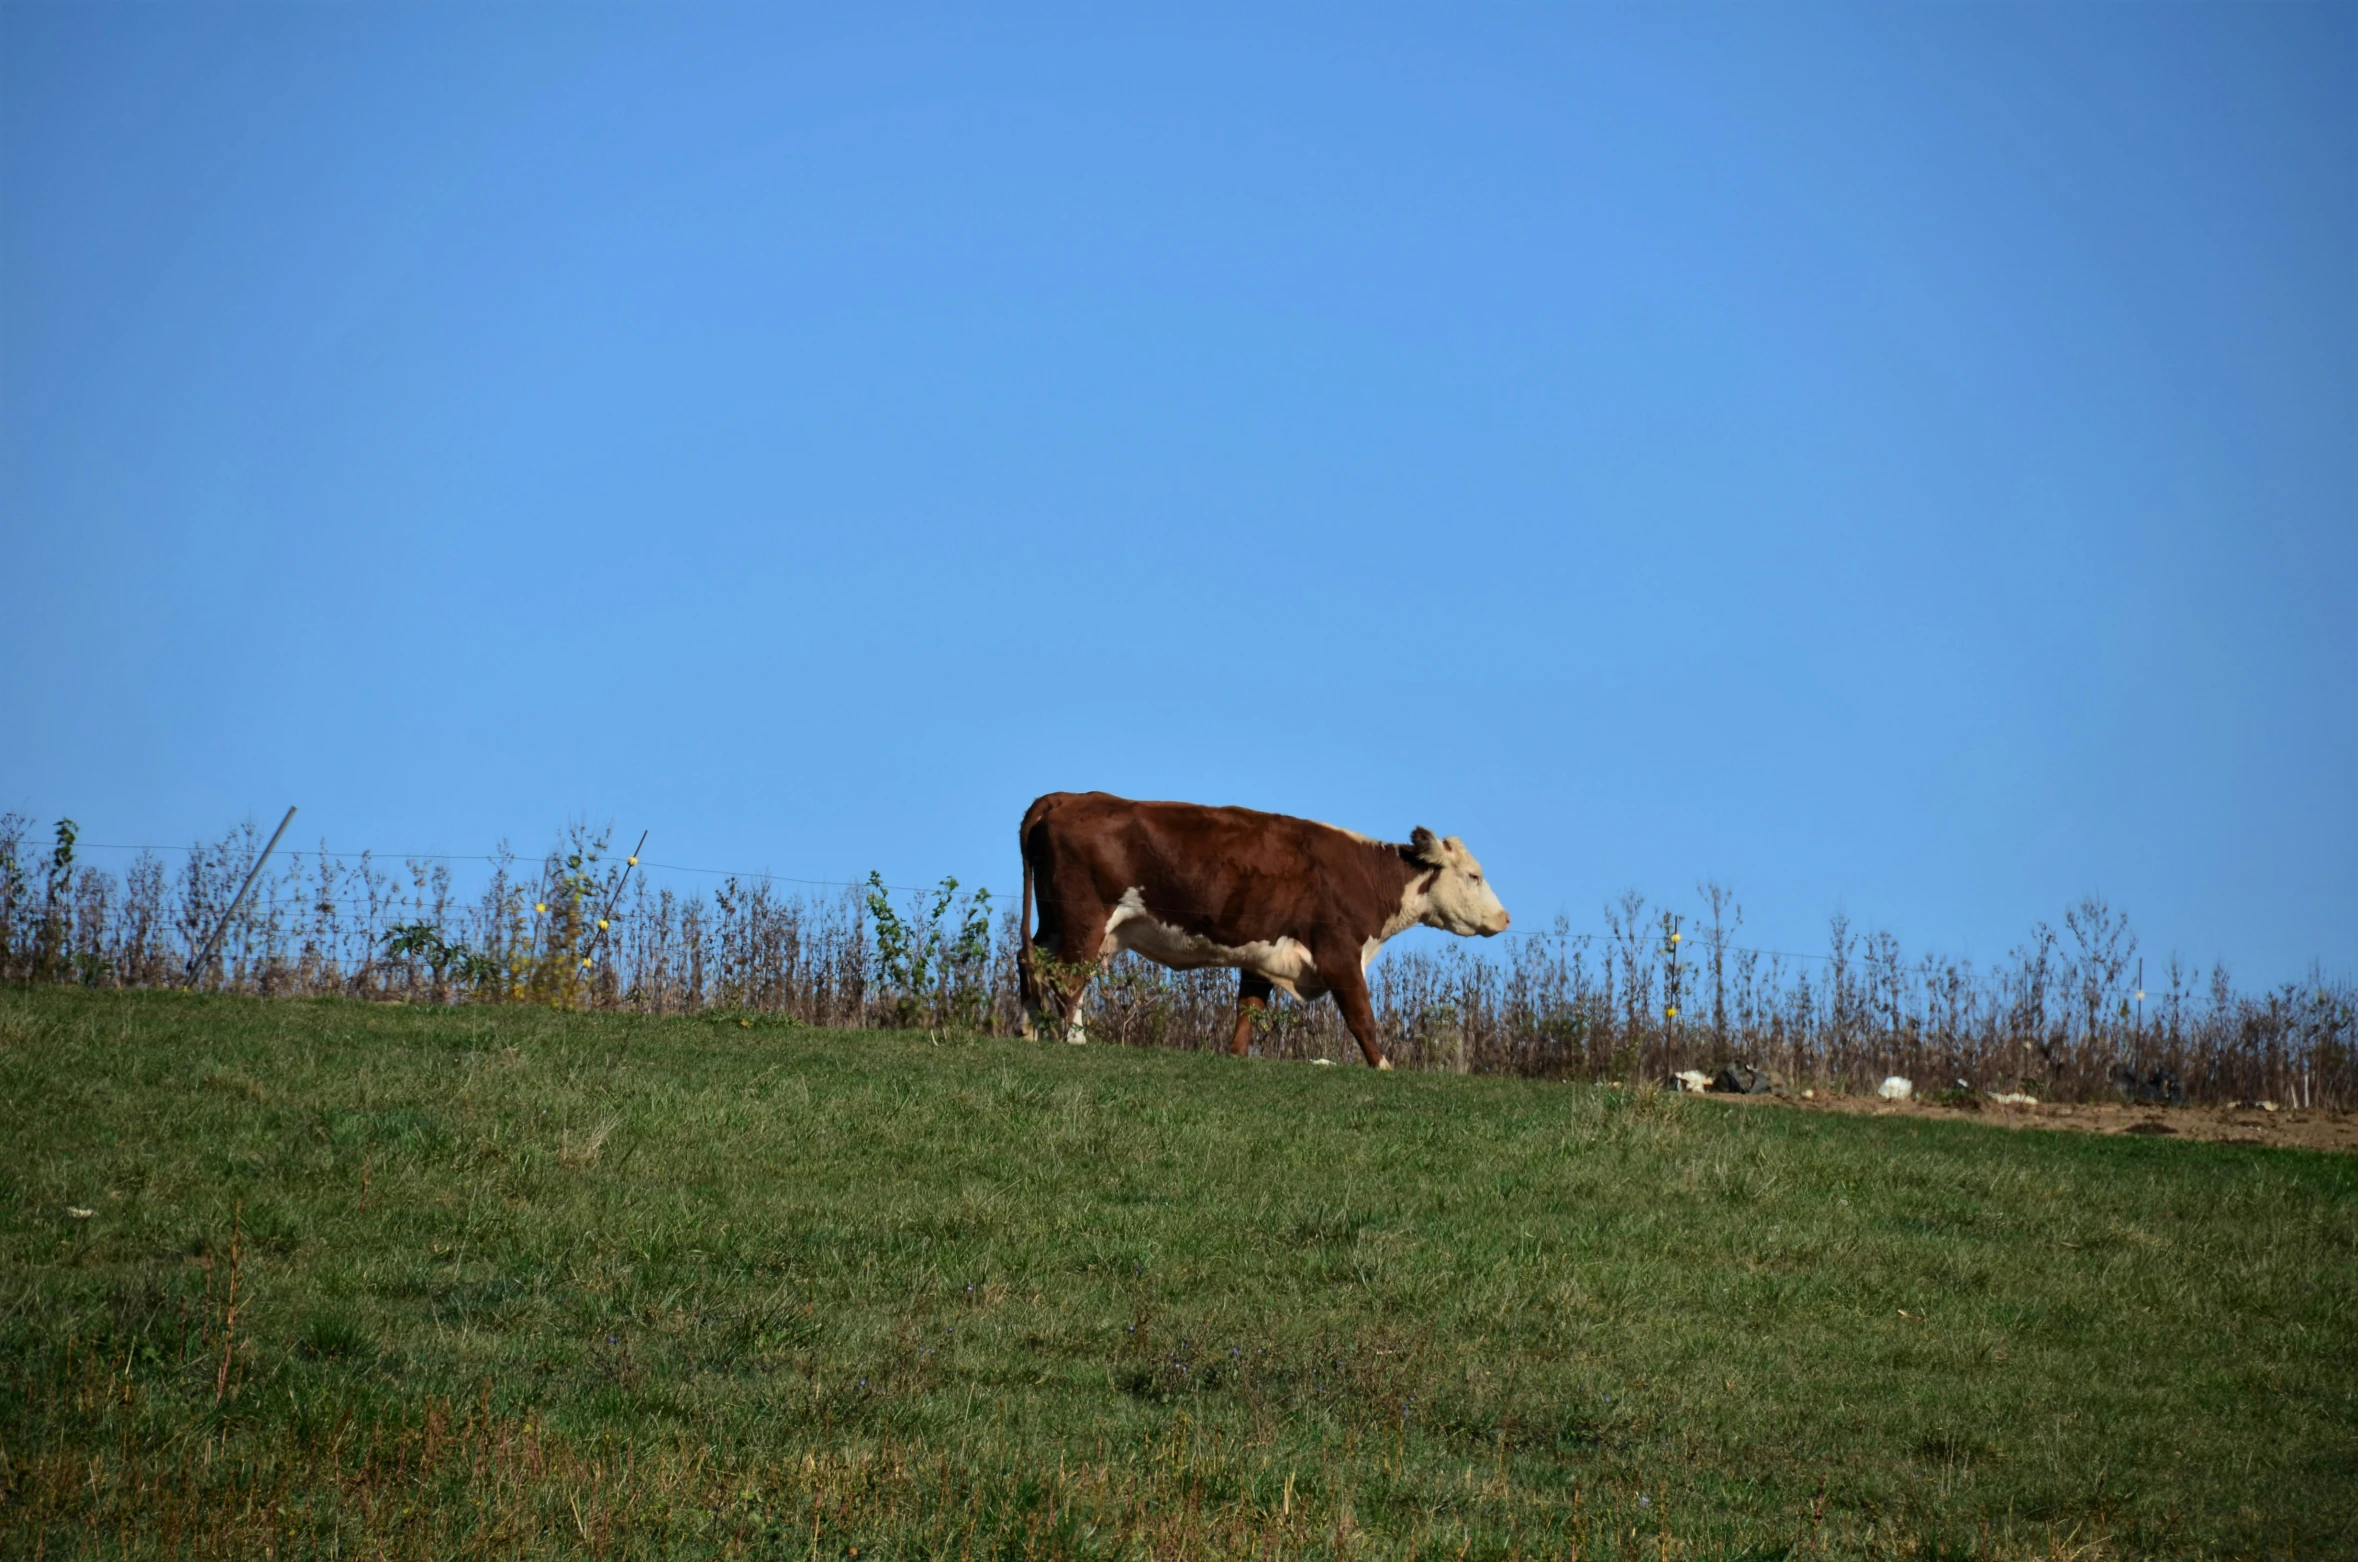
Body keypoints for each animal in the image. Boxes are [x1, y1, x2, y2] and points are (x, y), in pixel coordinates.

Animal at [1013, 797, 1509, 1075]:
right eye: (1474, 875)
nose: (1504, 918)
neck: (1365, 877)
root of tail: (1066, 797)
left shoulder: (1264, 956)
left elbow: (1248, 1010)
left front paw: (1235, 1055)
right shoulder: (1339, 954)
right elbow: (1361, 1016)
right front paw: (1384, 1066)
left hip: (1055, 921)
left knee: (1029, 962)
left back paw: (1027, 1031)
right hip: (1085, 919)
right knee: (1068, 977)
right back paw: (1074, 1039)